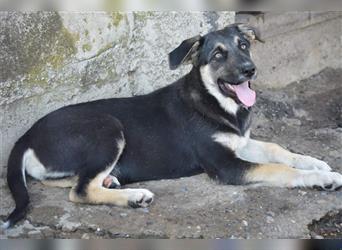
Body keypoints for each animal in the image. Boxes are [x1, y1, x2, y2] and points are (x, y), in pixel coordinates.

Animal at [2, 23, 342, 229]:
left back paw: (112, 180)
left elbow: (276, 148)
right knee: (80, 191)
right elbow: (278, 169)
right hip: (107, 129)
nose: (250, 70)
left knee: (66, 181)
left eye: (244, 45)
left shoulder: (240, 141)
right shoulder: (225, 165)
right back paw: (133, 196)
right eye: (218, 55)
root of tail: (26, 136)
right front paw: (320, 179)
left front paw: (316, 163)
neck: (214, 101)